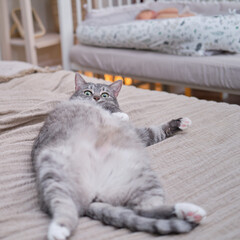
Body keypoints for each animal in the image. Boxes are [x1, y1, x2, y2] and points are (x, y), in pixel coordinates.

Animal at [31, 73, 206, 240]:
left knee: (144, 209)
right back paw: (58, 229)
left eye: (105, 94)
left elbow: (155, 131)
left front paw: (180, 123)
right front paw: (120, 114)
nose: (96, 98)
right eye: (87, 92)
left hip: (142, 178)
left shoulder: (140, 134)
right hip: (52, 174)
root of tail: (94, 196)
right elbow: (117, 113)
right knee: (64, 206)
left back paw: (189, 211)